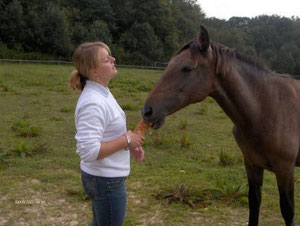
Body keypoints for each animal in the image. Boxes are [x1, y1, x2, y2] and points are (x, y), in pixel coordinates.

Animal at [142, 25, 300, 225]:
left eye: (187, 68)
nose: (147, 111)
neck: (267, 107)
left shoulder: (285, 169)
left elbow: (288, 210)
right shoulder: (252, 164)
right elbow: (254, 203)